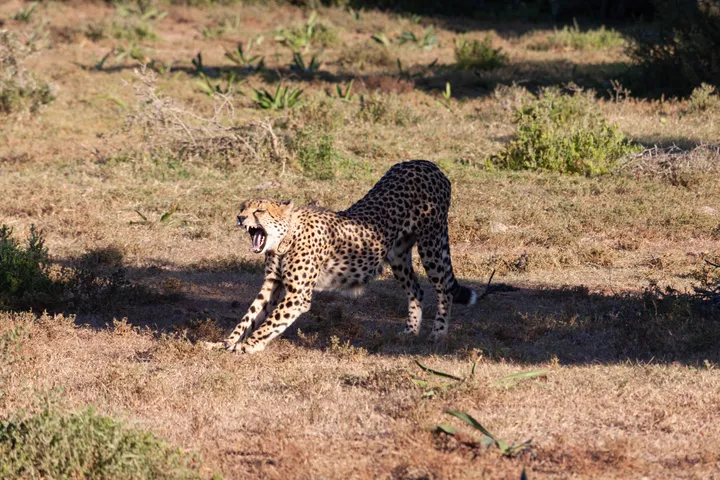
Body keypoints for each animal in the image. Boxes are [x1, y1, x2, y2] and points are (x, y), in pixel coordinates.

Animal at [219, 160, 477, 354]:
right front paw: (226, 342)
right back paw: (410, 331)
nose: (240, 218)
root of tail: (427, 163)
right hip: (398, 255)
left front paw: (248, 345)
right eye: (243, 208)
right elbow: (251, 315)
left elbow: (271, 321)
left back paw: (438, 334)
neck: (284, 240)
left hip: (431, 243)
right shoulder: (273, 283)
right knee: (416, 289)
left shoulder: (298, 294)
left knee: (444, 290)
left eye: (259, 210)